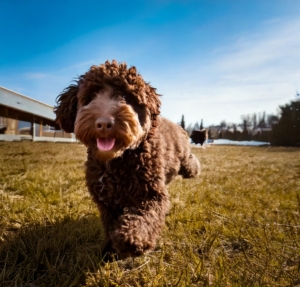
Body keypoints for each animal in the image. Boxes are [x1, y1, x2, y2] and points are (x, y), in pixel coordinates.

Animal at [54, 59, 199, 260]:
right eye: (92, 96)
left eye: (125, 96)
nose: (104, 123)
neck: (115, 163)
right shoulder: (106, 202)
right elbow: (110, 225)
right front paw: (109, 250)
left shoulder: (151, 194)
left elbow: (144, 217)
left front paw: (131, 238)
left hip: (183, 154)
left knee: (189, 162)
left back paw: (194, 169)